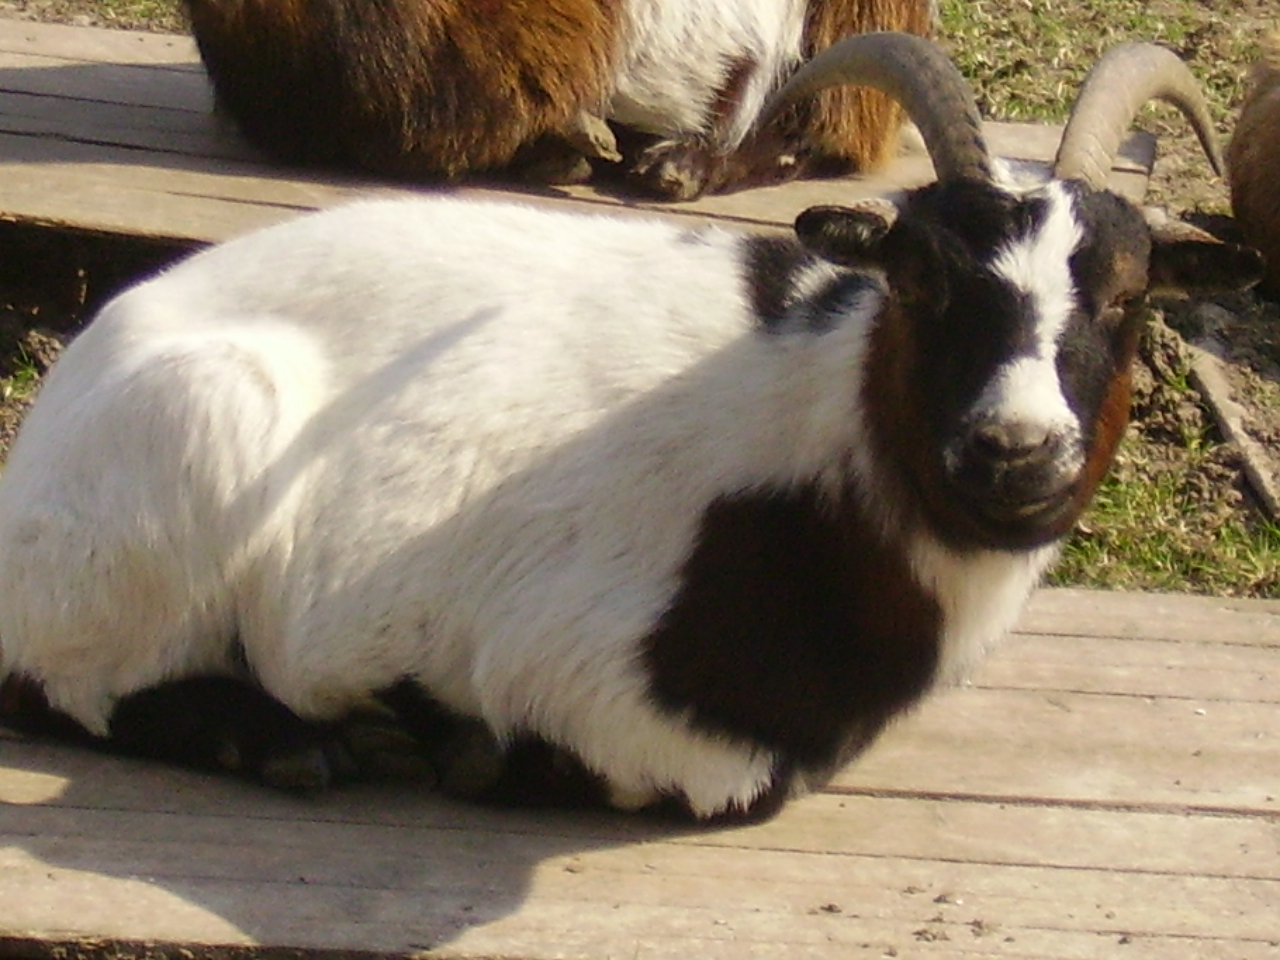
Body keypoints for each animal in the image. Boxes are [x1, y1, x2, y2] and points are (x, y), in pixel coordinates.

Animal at [0, 35, 1262, 822]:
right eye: (917, 280)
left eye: (1126, 294)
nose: (1015, 449)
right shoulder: (591, 681)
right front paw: (453, 746)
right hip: (195, 435)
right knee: (79, 684)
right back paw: (296, 744)